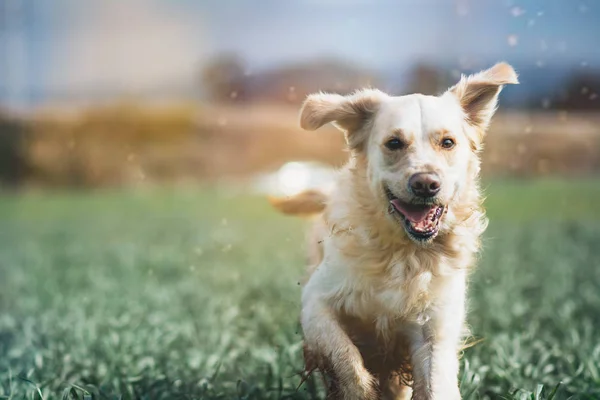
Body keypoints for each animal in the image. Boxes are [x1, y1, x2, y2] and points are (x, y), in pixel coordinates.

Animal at [270, 63, 516, 400]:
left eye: (447, 142)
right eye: (394, 143)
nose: (425, 183)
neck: (403, 253)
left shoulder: (435, 330)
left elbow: (436, 384)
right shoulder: (316, 303)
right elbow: (345, 358)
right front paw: (357, 388)